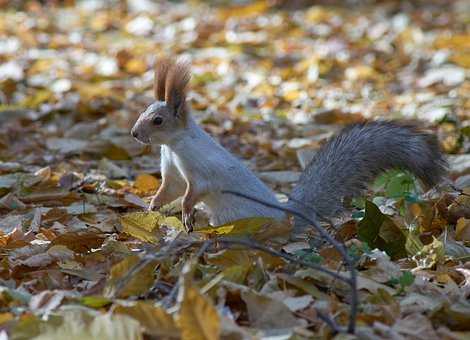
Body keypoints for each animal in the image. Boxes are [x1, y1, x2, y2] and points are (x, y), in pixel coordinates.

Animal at [130, 57, 446, 234]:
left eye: (158, 120)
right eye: (144, 110)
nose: (134, 133)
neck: (174, 145)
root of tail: (285, 220)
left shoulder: (202, 169)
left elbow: (195, 191)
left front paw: (185, 210)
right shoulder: (172, 169)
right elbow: (170, 188)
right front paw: (152, 206)